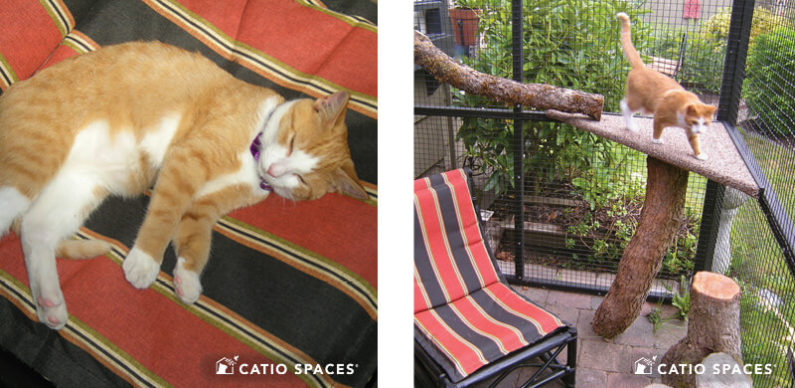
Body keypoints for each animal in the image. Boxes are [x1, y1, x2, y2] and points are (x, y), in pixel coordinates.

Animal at [0, 41, 366, 330]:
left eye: (302, 178)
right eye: (291, 141)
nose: (275, 169)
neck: (252, 149)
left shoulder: (203, 207)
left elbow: (196, 240)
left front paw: (187, 279)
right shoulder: (185, 164)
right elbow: (163, 219)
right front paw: (144, 262)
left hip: (77, 189)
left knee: (35, 230)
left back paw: (50, 304)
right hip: (30, 167)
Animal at [620, 12, 720, 160]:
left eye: (705, 123)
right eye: (695, 122)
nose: (700, 131)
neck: (683, 119)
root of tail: (642, 67)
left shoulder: (690, 131)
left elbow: (694, 142)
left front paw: (699, 154)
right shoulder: (660, 115)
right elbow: (657, 127)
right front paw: (656, 140)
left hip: (646, 106)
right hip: (639, 100)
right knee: (624, 105)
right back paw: (631, 126)